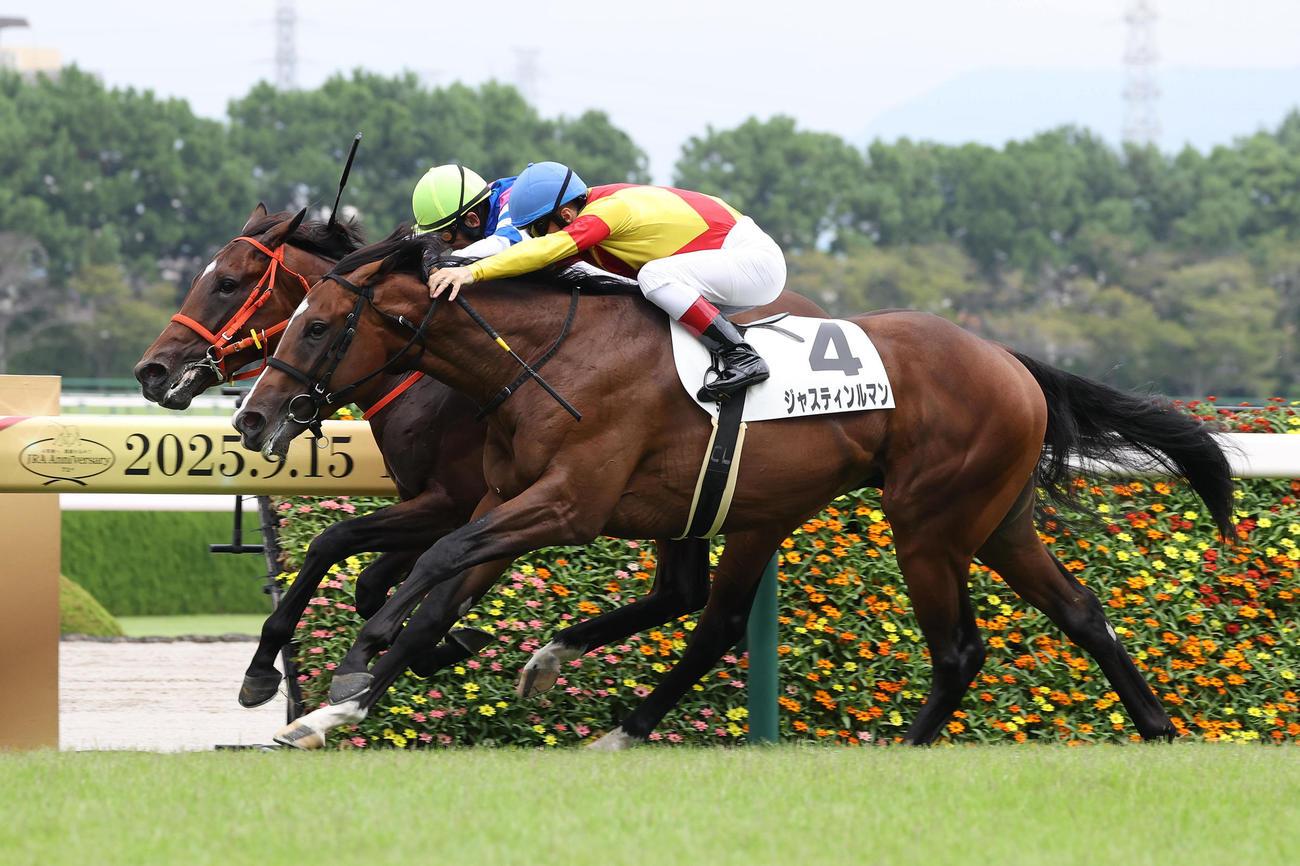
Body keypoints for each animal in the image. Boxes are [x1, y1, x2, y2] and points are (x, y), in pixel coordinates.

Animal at [136, 207, 826, 710]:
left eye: (227, 284)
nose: (152, 371)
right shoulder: (447, 502)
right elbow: (366, 571)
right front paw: (439, 644)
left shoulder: (450, 501)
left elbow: (347, 550)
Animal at [231, 232, 1235, 750]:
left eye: (314, 324)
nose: (251, 416)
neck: (543, 357)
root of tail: (1011, 361)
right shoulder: (504, 503)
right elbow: (433, 587)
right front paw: (338, 700)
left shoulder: (562, 506)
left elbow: (427, 568)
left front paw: (349, 672)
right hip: (979, 520)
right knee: (1080, 611)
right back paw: (1155, 726)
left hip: (927, 522)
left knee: (956, 649)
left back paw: (903, 750)